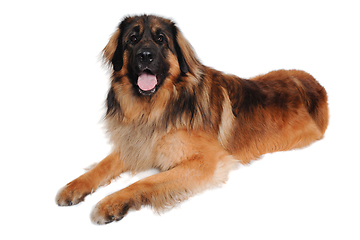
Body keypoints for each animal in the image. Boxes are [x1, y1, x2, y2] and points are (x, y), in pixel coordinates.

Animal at [56, 14, 330, 225]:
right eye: (132, 39)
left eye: (161, 39)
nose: (145, 55)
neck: (155, 108)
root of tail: (313, 81)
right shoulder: (137, 144)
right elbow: (103, 166)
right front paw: (73, 187)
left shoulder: (207, 161)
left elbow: (146, 181)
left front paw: (110, 203)